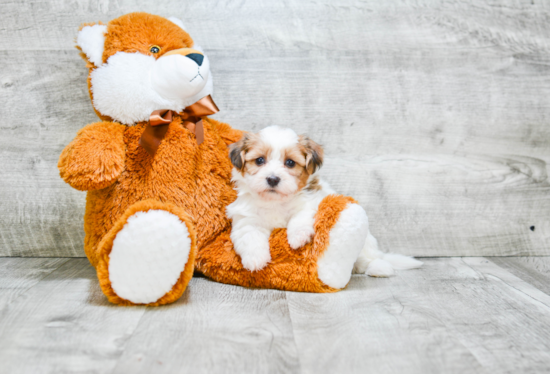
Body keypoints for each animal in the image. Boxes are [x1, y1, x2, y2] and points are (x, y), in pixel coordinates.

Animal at [226, 125, 424, 274]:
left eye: (290, 163)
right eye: (259, 160)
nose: (273, 179)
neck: (275, 201)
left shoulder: (312, 201)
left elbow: (300, 216)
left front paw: (297, 237)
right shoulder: (247, 219)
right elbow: (249, 235)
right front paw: (255, 260)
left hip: (366, 245)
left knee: (367, 258)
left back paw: (379, 267)